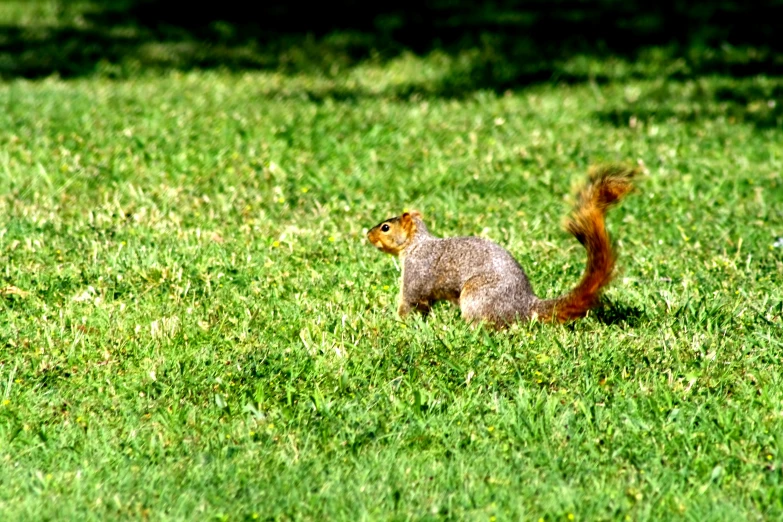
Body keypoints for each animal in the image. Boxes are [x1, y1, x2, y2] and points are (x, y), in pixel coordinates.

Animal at [368, 162, 636, 328]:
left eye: (385, 227)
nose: (367, 235)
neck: (416, 244)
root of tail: (525, 305)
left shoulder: (417, 270)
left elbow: (410, 300)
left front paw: (397, 323)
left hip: (477, 296)